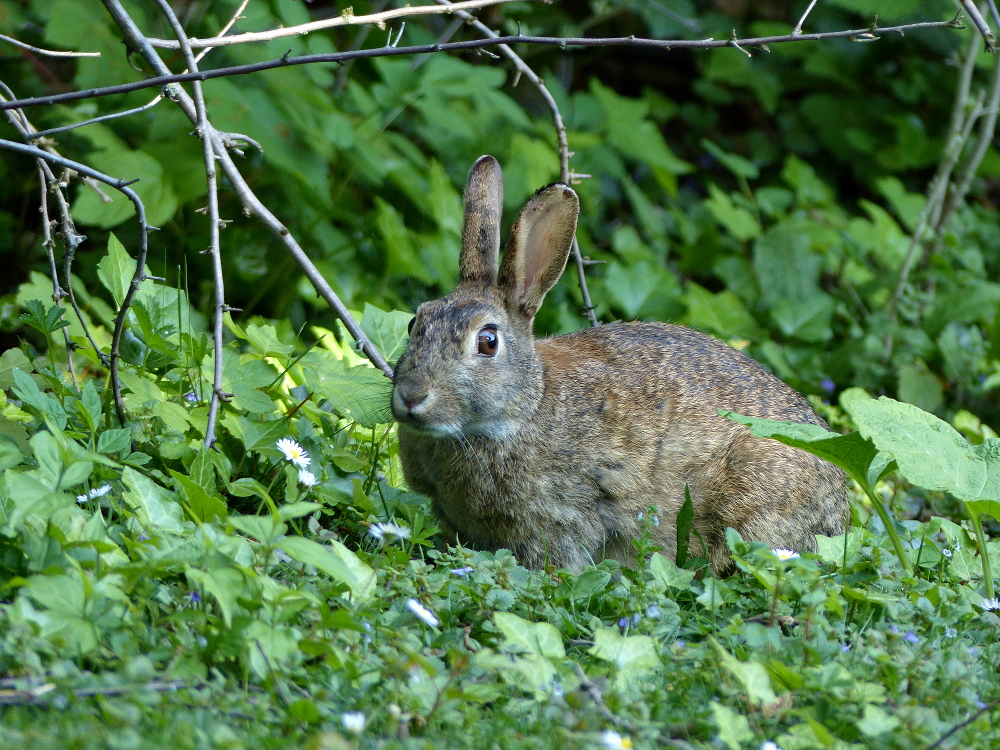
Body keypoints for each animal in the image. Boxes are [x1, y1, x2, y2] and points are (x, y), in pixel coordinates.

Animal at [391, 155, 848, 574]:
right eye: (415, 322)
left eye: (487, 342)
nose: (411, 396)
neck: (527, 408)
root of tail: (840, 498)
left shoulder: (566, 518)